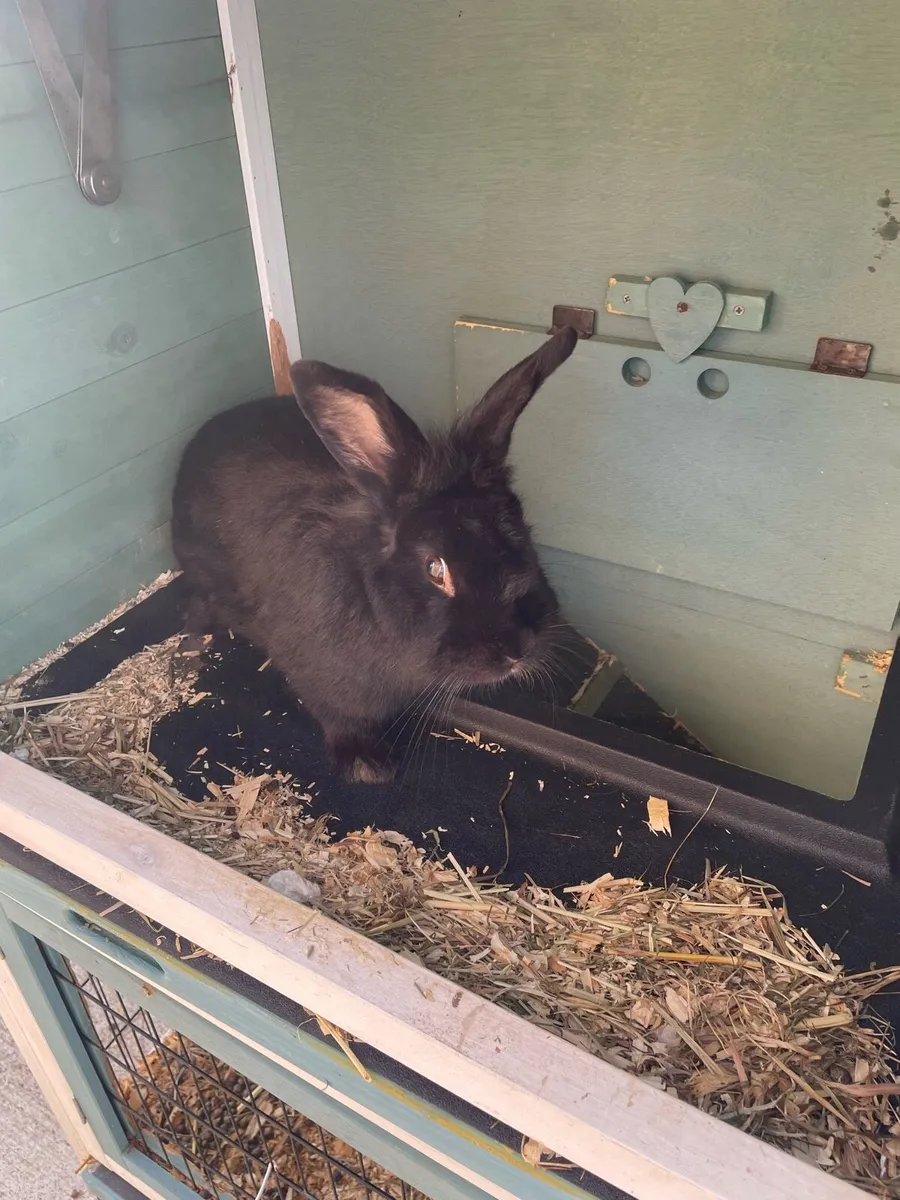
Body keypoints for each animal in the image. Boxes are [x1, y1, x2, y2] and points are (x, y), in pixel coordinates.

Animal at [171, 325, 578, 783]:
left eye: (521, 529)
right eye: (435, 568)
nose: (515, 650)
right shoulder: (322, 681)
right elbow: (340, 717)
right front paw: (369, 768)